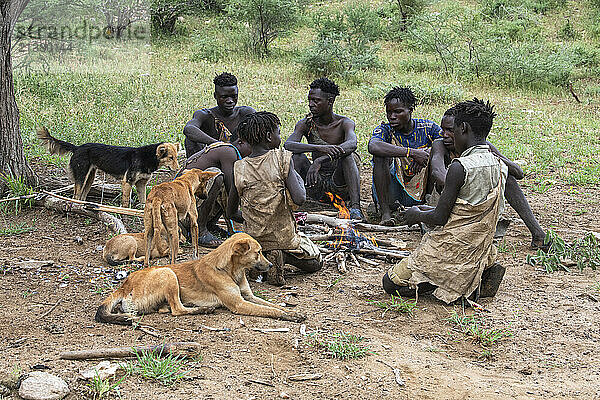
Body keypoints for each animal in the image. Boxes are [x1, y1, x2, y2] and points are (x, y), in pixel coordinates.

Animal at [35, 126, 178, 208]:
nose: (177, 169)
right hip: (82, 176)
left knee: (81, 196)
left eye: (176, 157)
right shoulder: (127, 182)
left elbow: (143, 201)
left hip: (90, 178)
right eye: (171, 158)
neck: (147, 157)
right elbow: (125, 202)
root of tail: (77, 148)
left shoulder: (141, 184)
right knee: (76, 196)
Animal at [97, 233, 310, 324]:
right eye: (258, 253)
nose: (272, 266)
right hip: (168, 273)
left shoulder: (248, 296)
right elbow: (271, 311)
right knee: (177, 310)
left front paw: (292, 312)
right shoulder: (239, 304)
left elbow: (272, 305)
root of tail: (124, 285)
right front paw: (289, 316)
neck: (230, 270)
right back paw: (204, 309)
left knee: (168, 308)